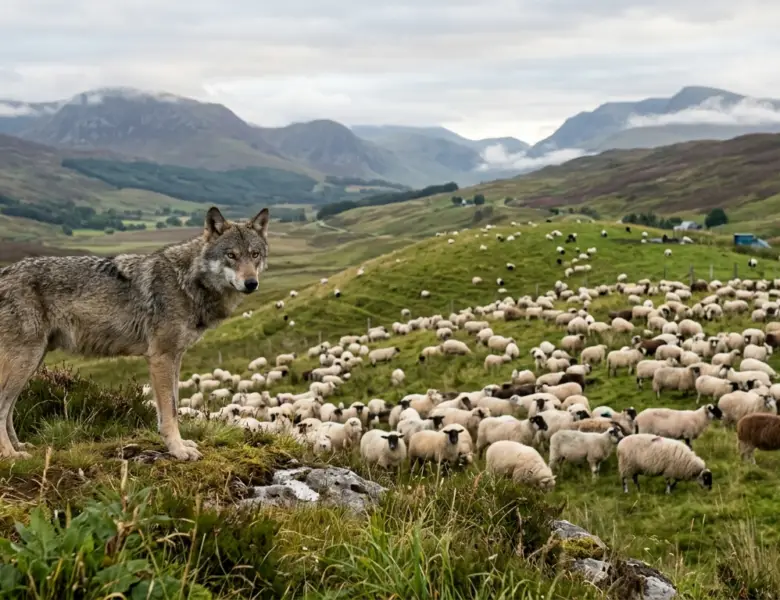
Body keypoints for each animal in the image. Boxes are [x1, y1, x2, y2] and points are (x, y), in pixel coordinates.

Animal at [0, 206, 269, 461]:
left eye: (254, 254)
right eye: (231, 255)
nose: (251, 283)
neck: (187, 282)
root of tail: (4, 272)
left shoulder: (175, 358)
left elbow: (172, 407)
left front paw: (182, 444)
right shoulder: (161, 358)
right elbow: (169, 412)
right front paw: (178, 450)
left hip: (32, 362)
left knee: (10, 408)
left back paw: (19, 446)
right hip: (25, 361)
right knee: (3, 407)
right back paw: (11, 455)